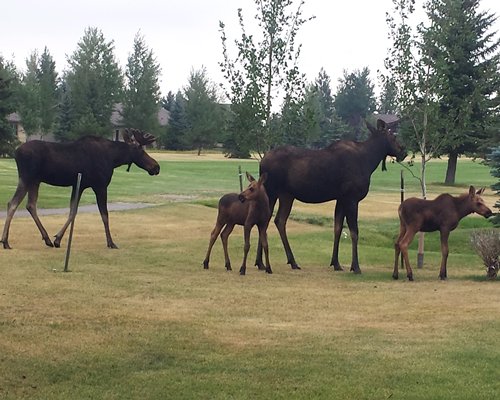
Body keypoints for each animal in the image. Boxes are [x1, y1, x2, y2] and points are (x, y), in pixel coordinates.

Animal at [0, 130, 159, 250]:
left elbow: (73, 211)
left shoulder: (80, 185)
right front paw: (111, 242)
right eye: (140, 150)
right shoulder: (100, 186)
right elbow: (104, 214)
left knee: (30, 205)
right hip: (27, 177)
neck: (114, 159)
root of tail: (16, 152)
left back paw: (46, 239)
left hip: (35, 181)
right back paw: (6, 241)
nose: (156, 167)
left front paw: (57, 239)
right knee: (12, 203)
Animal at [258, 119, 406, 274]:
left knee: (277, 220)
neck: (369, 162)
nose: (403, 150)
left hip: (286, 195)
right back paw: (272, 262)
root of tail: (261, 162)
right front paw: (355, 266)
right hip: (272, 192)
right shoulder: (351, 198)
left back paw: (270, 262)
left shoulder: (341, 199)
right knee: (268, 220)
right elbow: (354, 232)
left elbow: (338, 229)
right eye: (393, 136)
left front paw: (336, 263)